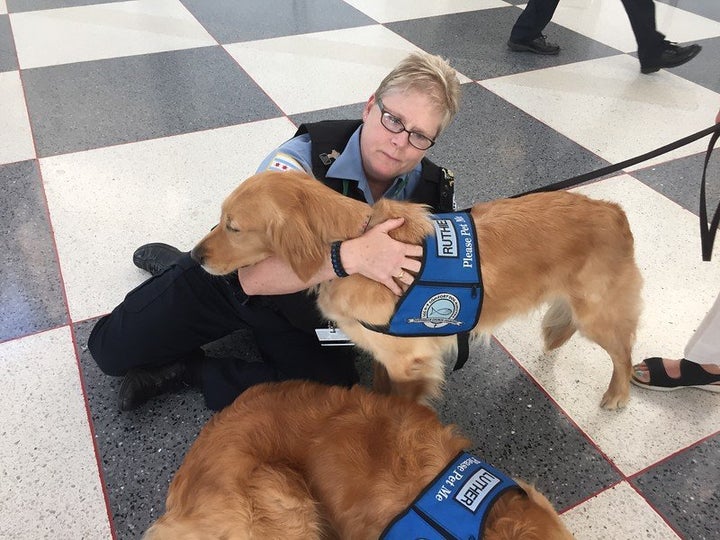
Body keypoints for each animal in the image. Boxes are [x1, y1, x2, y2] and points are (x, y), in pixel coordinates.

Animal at [191, 173, 640, 410]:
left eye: (233, 226)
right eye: (221, 219)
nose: (195, 256)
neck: (354, 241)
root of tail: (614, 210)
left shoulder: (411, 360)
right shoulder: (387, 354)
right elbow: (382, 386)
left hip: (599, 314)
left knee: (624, 352)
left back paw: (617, 394)